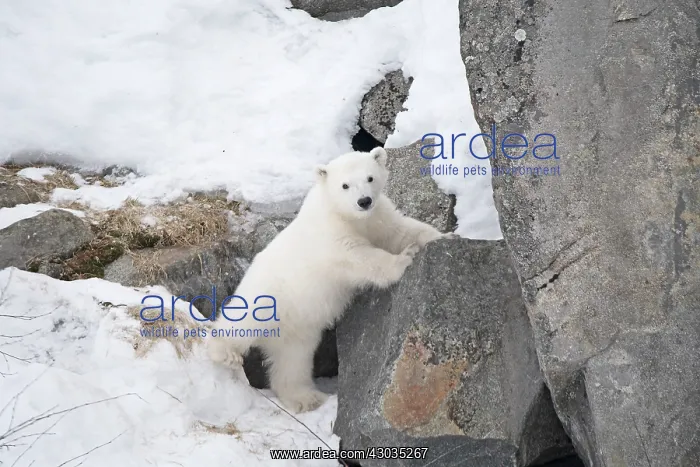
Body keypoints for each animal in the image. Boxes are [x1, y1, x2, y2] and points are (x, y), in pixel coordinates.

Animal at [207, 146, 455, 413]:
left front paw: (446, 236)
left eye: (370, 178)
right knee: (242, 322)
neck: (346, 215)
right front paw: (404, 259)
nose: (364, 201)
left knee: (293, 360)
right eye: (345, 185)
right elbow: (360, 257)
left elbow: (402, 230)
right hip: (269, 296)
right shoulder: (333, 236)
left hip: (297, 328)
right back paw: (224, 352)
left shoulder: (379, 217)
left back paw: (305, 398)